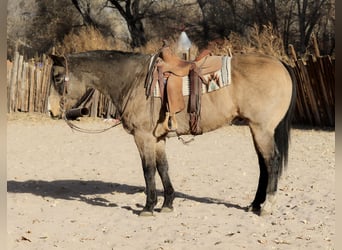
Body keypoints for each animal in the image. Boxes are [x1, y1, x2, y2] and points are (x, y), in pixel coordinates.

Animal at [47, 45, 296, 217]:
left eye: (57, 78)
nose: (51, 110)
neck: (133, 81)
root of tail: (280, 63)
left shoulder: (143, 137)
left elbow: (148, 170)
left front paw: (148, 207)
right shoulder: (158, 139)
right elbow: (163, 168)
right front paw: (167, 203)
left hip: (262, 129)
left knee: (272, 162)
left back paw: (267, 206)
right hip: (256, 130)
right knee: (263, 165)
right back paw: (255, 204)